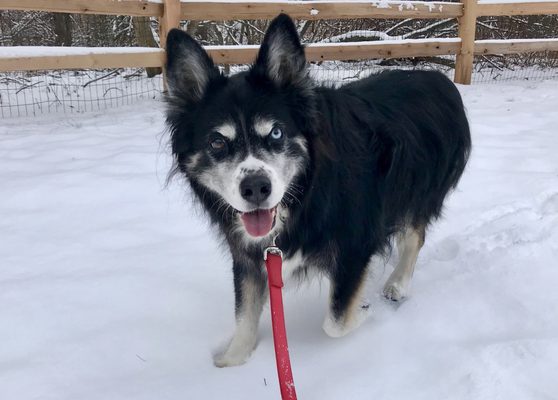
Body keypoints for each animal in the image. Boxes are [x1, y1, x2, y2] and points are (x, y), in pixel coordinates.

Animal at [165, 14, 472, 368]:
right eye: (217, 142)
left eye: (276, 132)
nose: (256, 188)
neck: (306, 191)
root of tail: (441, 81)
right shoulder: (248, 254)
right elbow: (245, 312)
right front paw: (231, 361)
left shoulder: (356, 243)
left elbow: (336, 320)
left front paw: (365, 311)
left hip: (416, 190)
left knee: (414, 236)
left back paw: (397, 284)